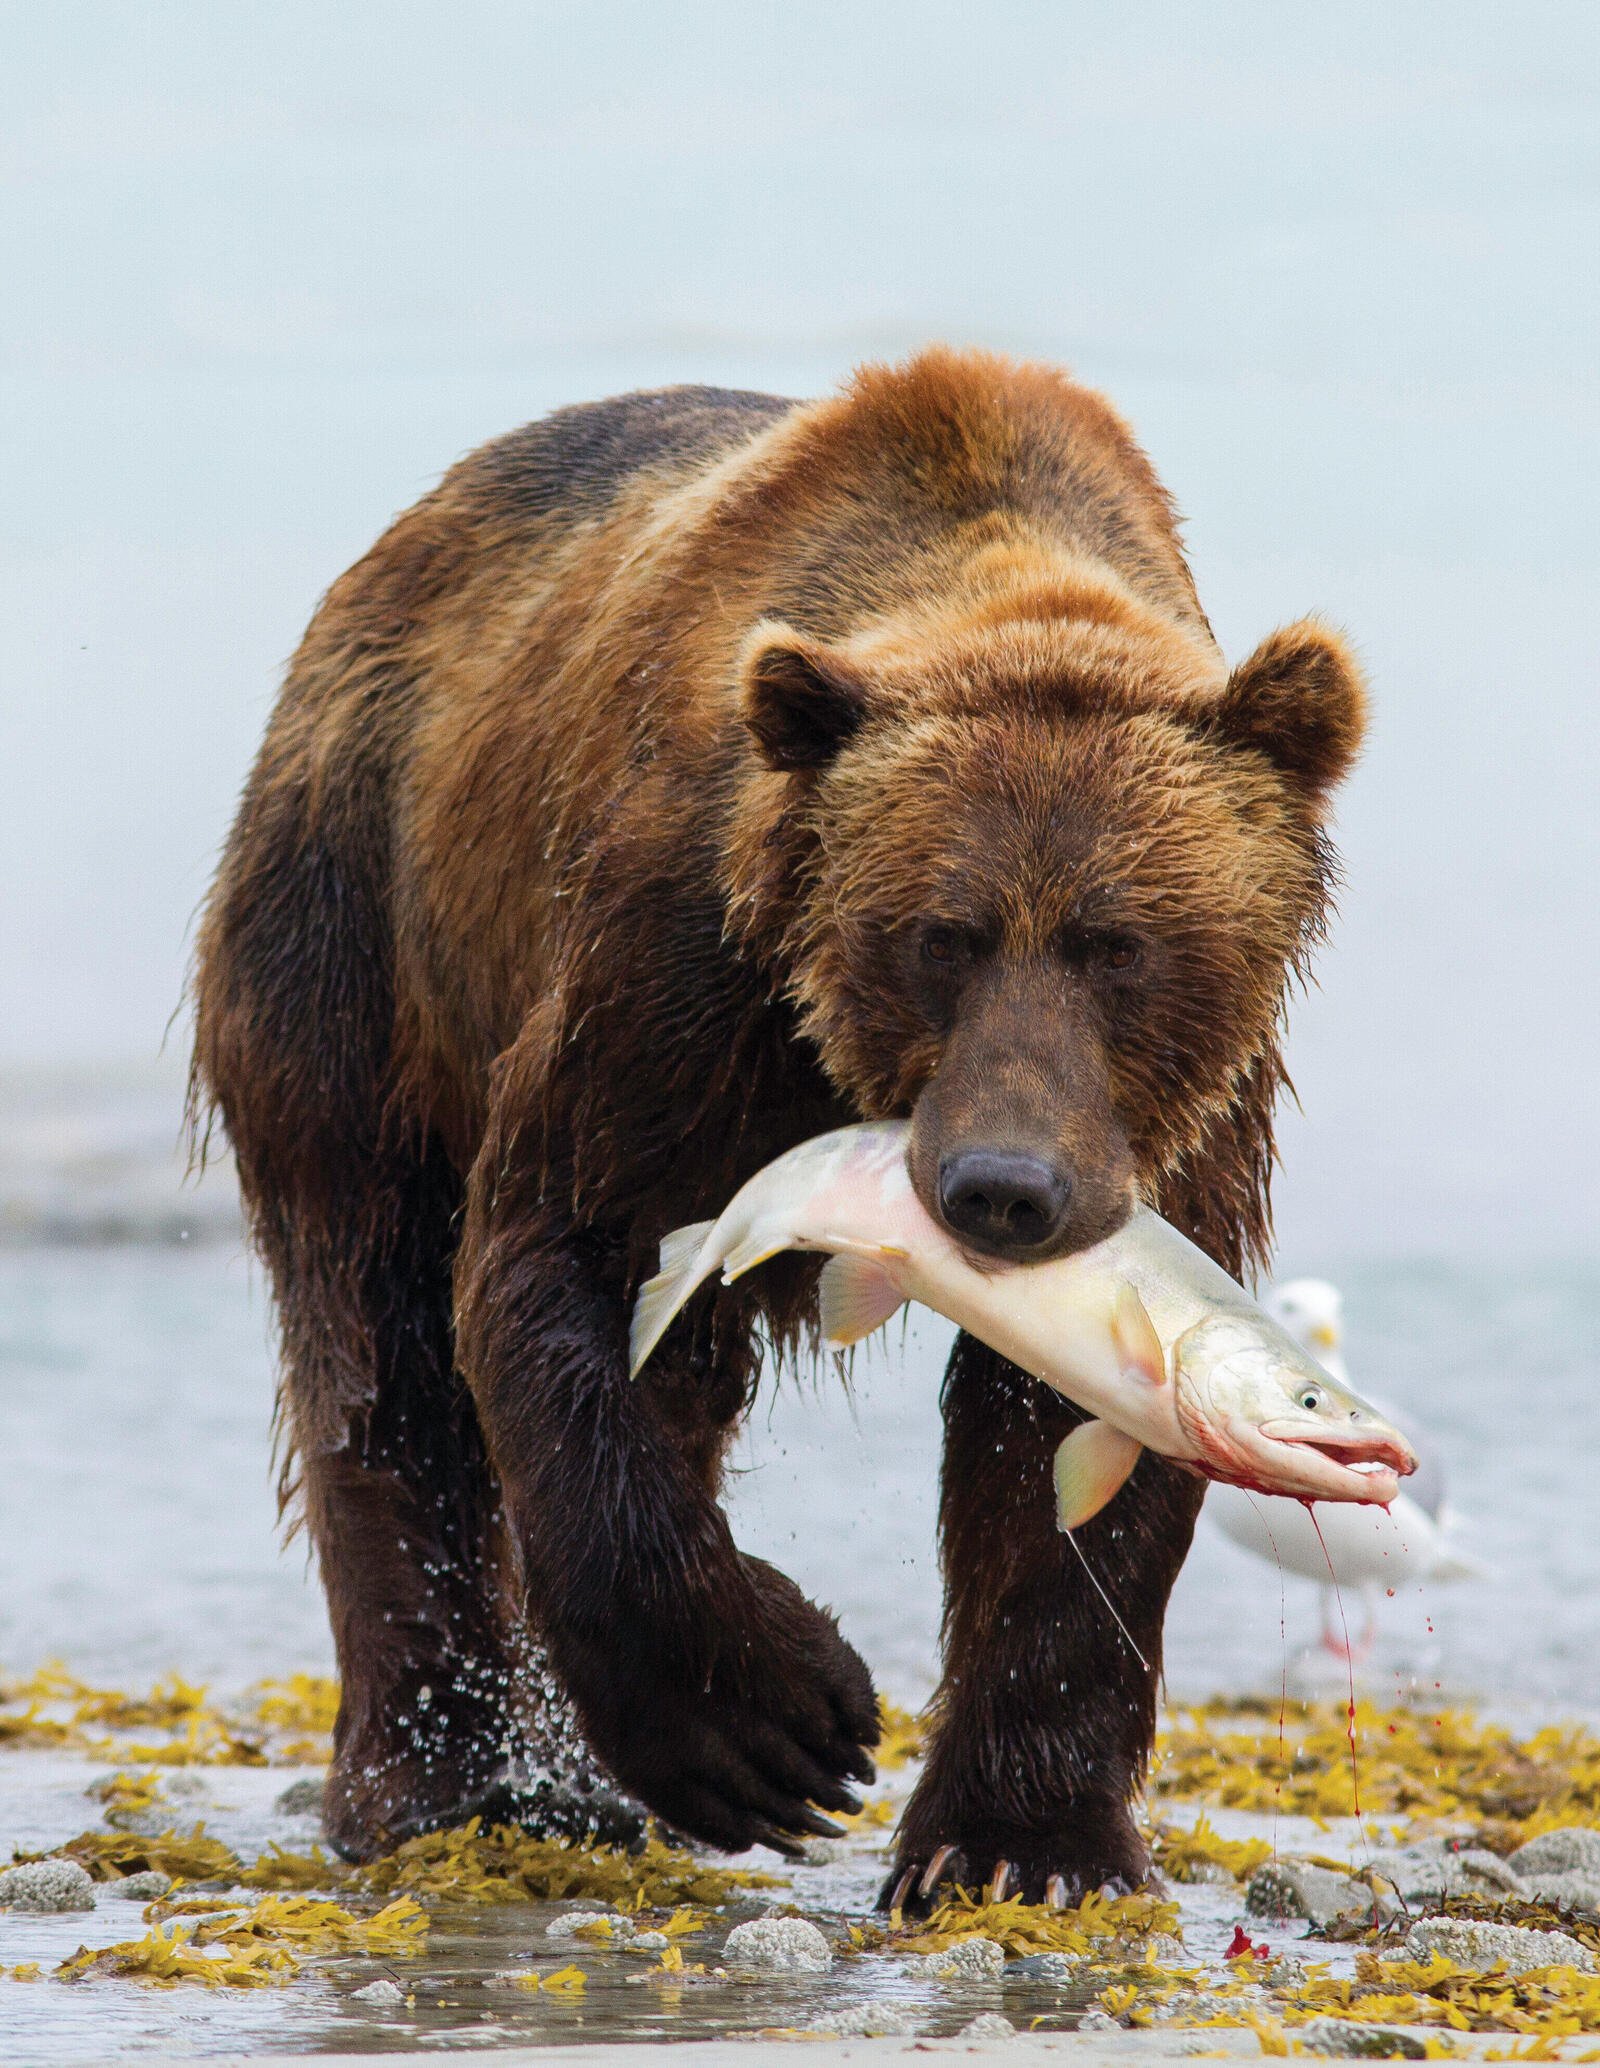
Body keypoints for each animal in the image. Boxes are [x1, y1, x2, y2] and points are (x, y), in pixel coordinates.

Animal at [191, 343, 1364, 1902]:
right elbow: (566, 1251)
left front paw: (1021, 1844)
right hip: (354, 930)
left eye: (1120, 945)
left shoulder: (1177, 1127)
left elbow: (1056, 1442)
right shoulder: (676, 965)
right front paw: (774, 1726)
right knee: (378, 1337)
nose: (1003, 1187)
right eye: (939, 934)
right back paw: (461, 1785)